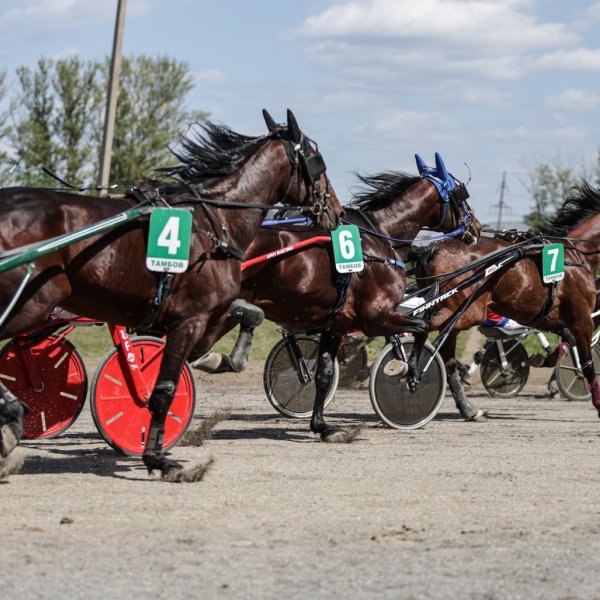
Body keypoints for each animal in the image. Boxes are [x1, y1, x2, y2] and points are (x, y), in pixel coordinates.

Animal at [0, 109, 344, 478]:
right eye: (317, 162)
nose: (337, 212)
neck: (212, 223)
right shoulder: (189, 318)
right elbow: (161, 389)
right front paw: (157, 457)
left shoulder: (201, 313)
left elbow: (243, 320)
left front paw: (218, 360)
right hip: (31, 303)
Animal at [410, 180, 600, 420]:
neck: (577, 255)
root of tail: (432, 249)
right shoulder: (582, 318)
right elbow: (587, 363)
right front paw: (597, 401)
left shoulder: (547, 317)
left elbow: (566, 338)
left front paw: (544, 361)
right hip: (466, 311)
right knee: (421, 328)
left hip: (458, 313)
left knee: (447, 357)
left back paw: (468, 408)